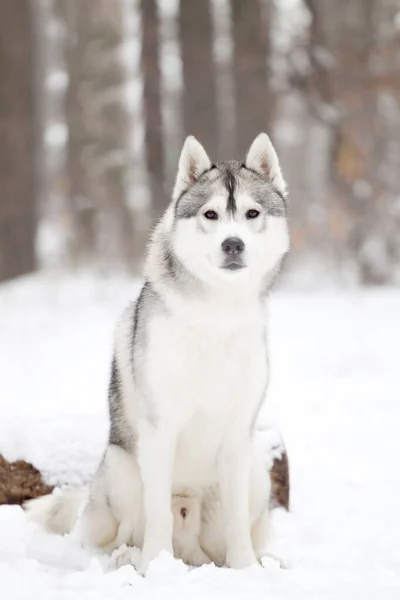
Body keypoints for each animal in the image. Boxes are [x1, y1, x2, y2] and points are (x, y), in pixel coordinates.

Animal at [25, 134, 290, 576]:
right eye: (210, 214)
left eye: (252, 213)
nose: (232, 243)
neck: (216, 314)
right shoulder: (160, 428)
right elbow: (158, 515)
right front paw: (156, 566)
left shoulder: (239, 436)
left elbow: (237, 521)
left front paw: (246, 570)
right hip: (122, 467)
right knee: (110, 538)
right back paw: (130, 557)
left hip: (256, 470)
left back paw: (265, 560)